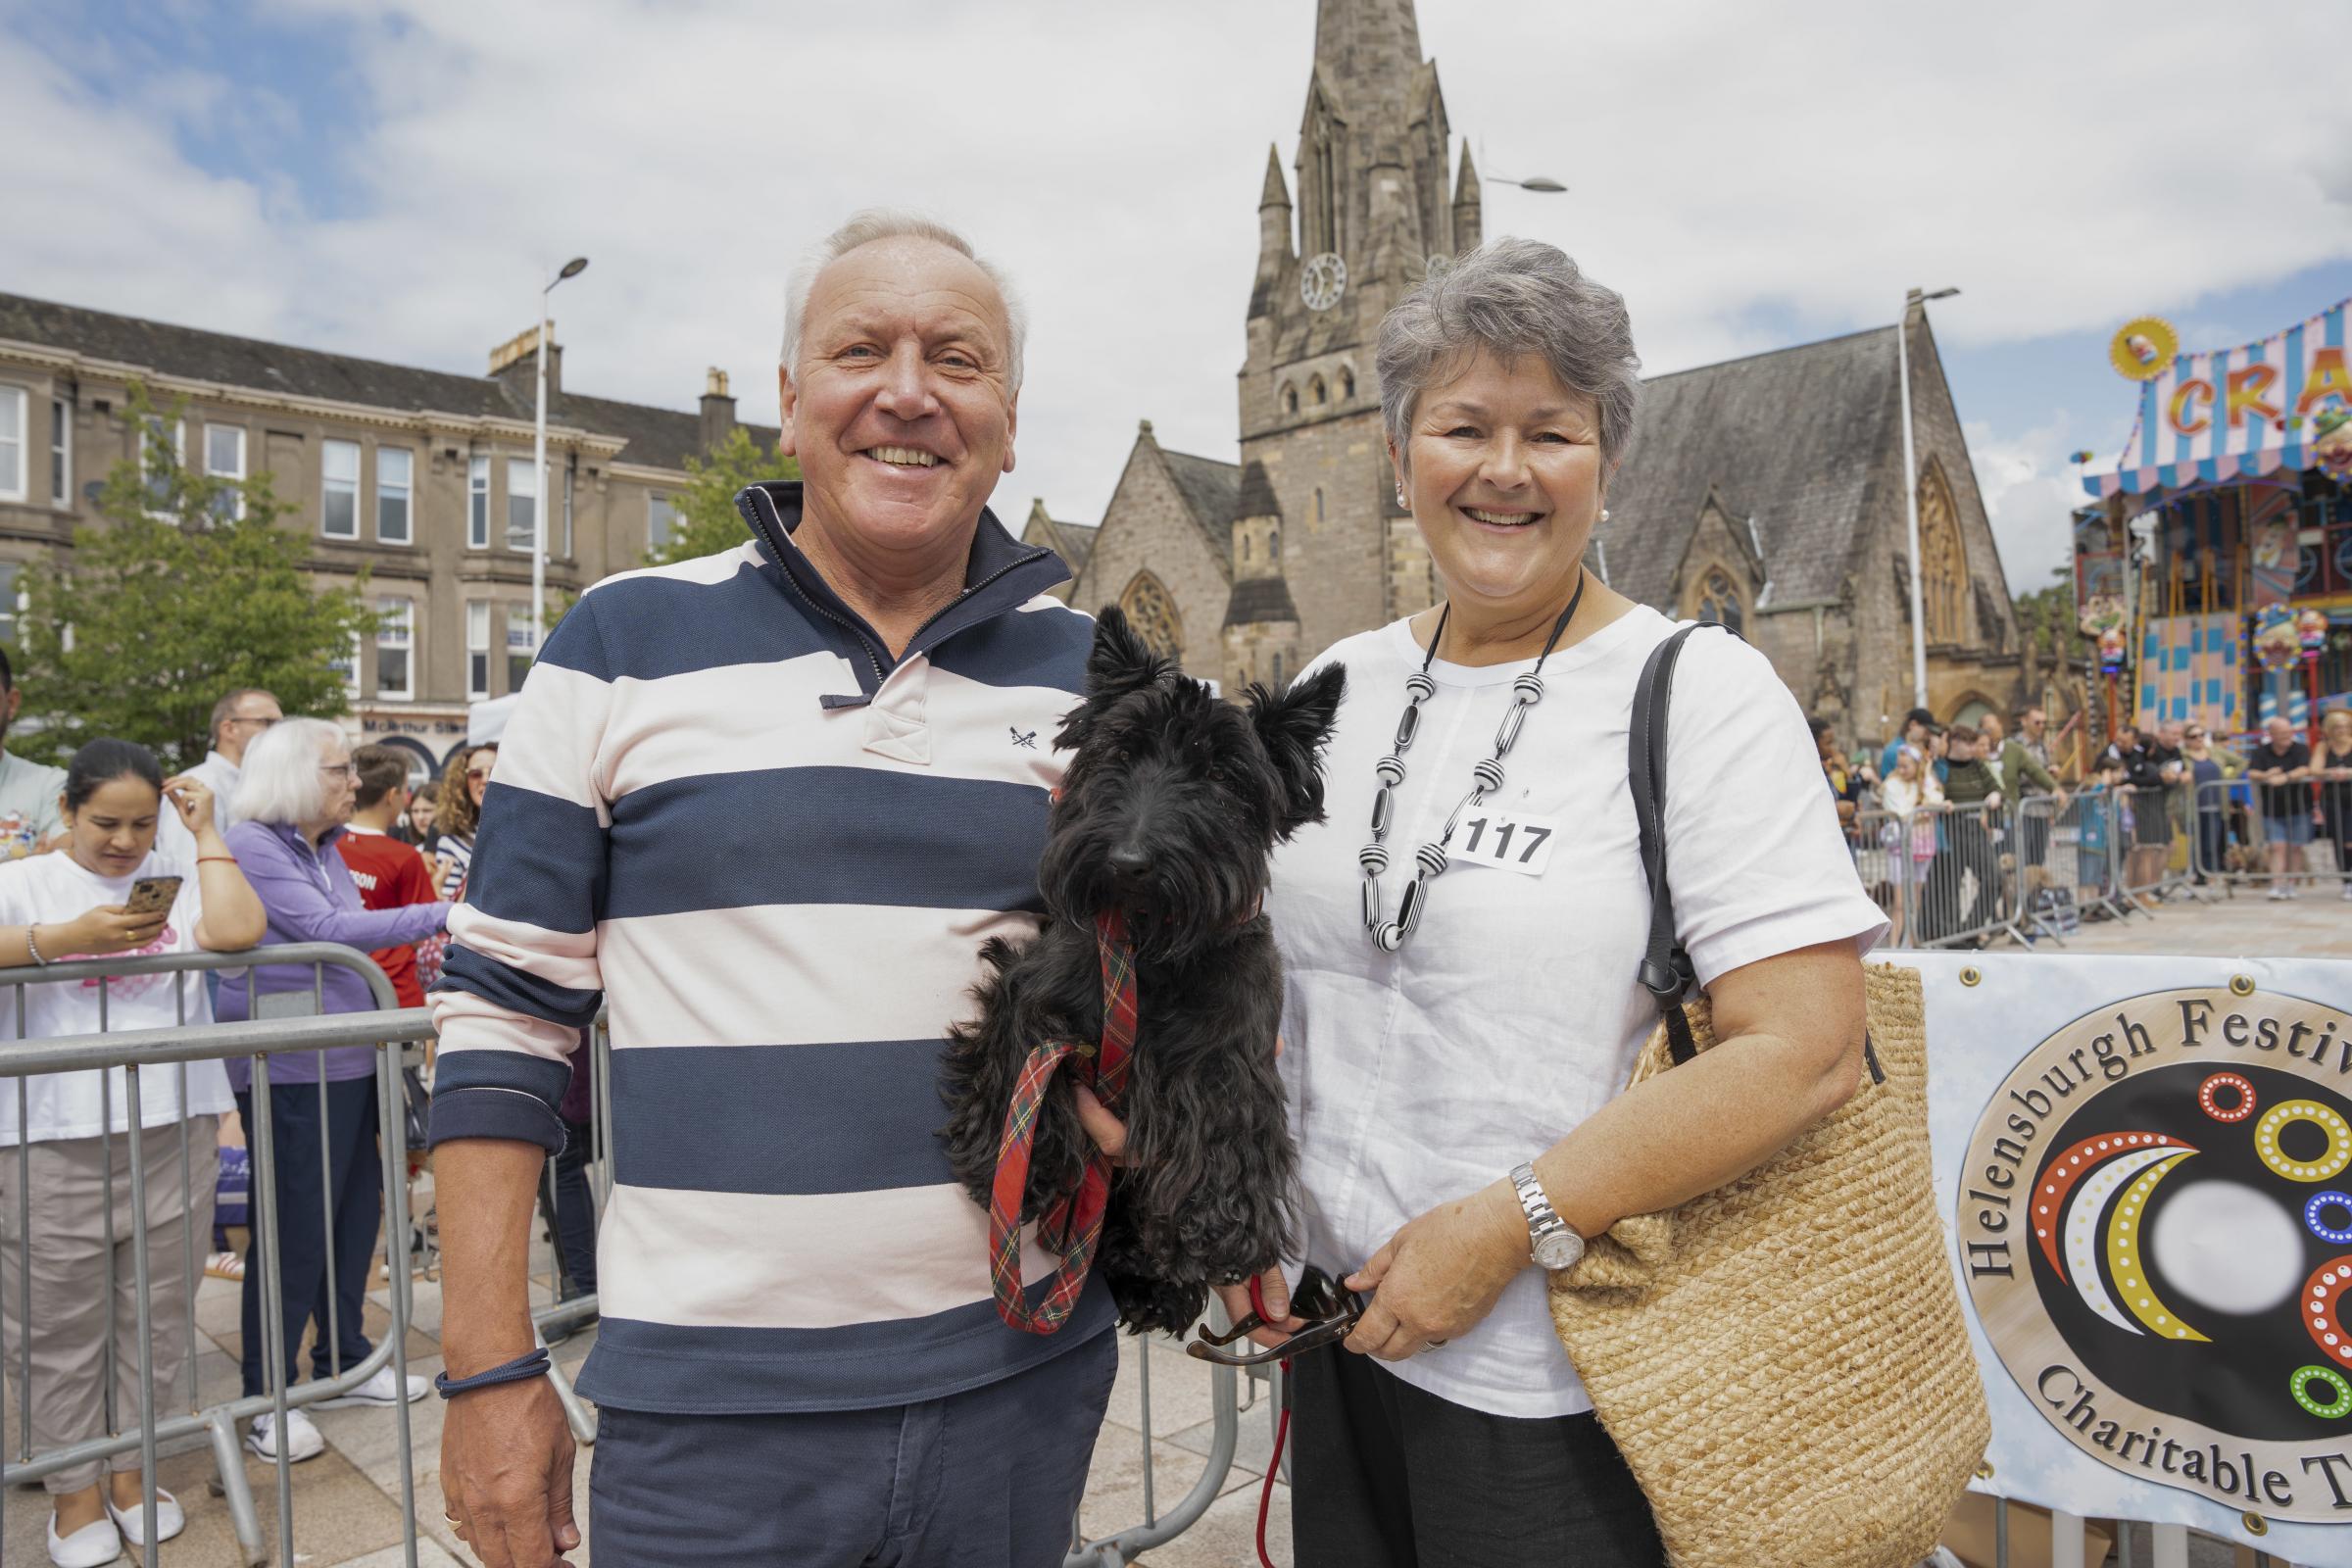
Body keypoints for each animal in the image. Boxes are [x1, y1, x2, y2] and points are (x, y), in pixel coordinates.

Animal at [931, 606, 1345, 1335]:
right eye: (1121, 752)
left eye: (1223, 776)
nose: (1128, 861)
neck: (1148, 952)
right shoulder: (1030, 995)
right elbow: (1022, 1067)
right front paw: (1015, 1162)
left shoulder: (1229, 1052)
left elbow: (1224, 1123)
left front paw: (1217, 1228)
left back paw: (1153, 1283)